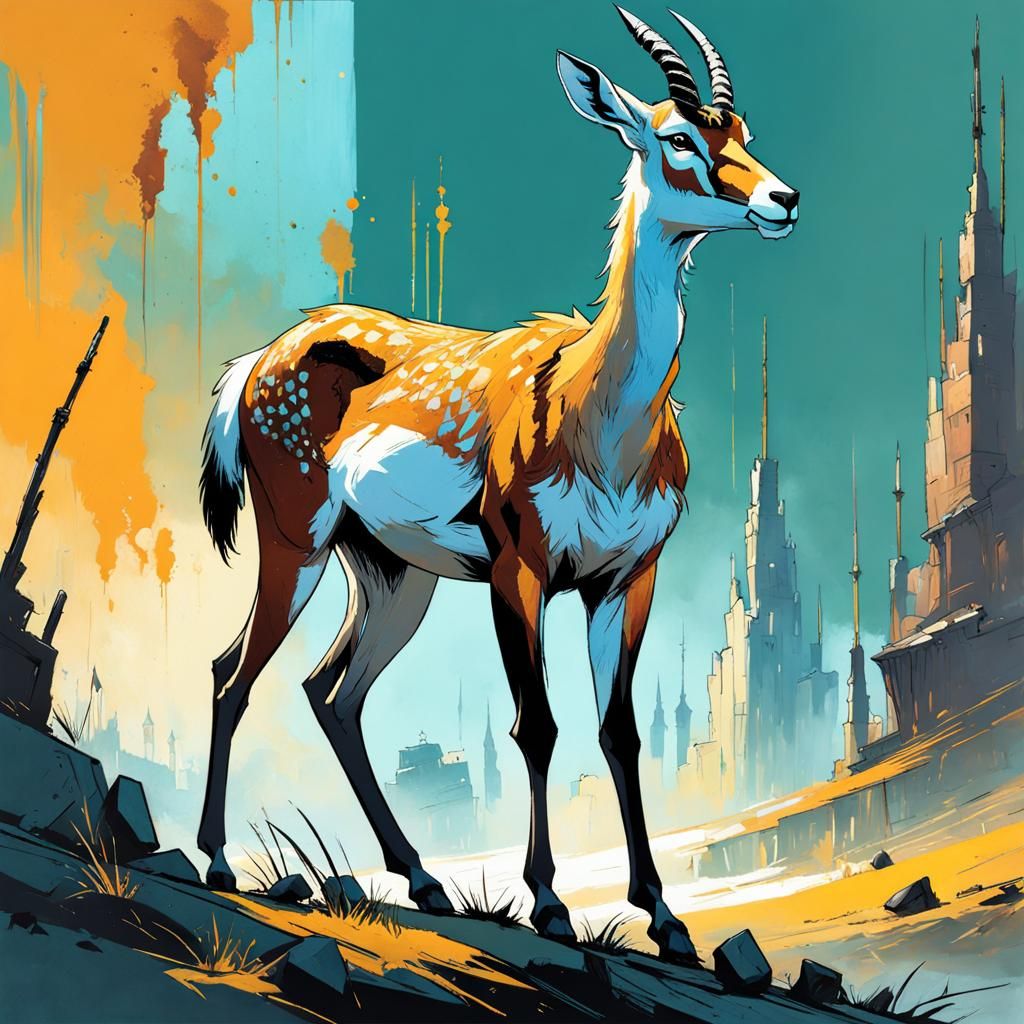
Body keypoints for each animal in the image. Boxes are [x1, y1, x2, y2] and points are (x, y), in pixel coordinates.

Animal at [197, 7, 797, 963]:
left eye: (739, 130)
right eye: (675, 136)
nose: (783, 200)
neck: (599, 416)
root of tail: (256, 361)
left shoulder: (626, 579)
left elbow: (620, 731)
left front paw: (666, 920)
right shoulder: (521, 570)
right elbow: (537, 724)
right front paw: (547, 901)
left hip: (392, 576)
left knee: (332, 692)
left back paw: (426, 881)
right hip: (297, 544)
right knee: (232, 674)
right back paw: (219, 861)